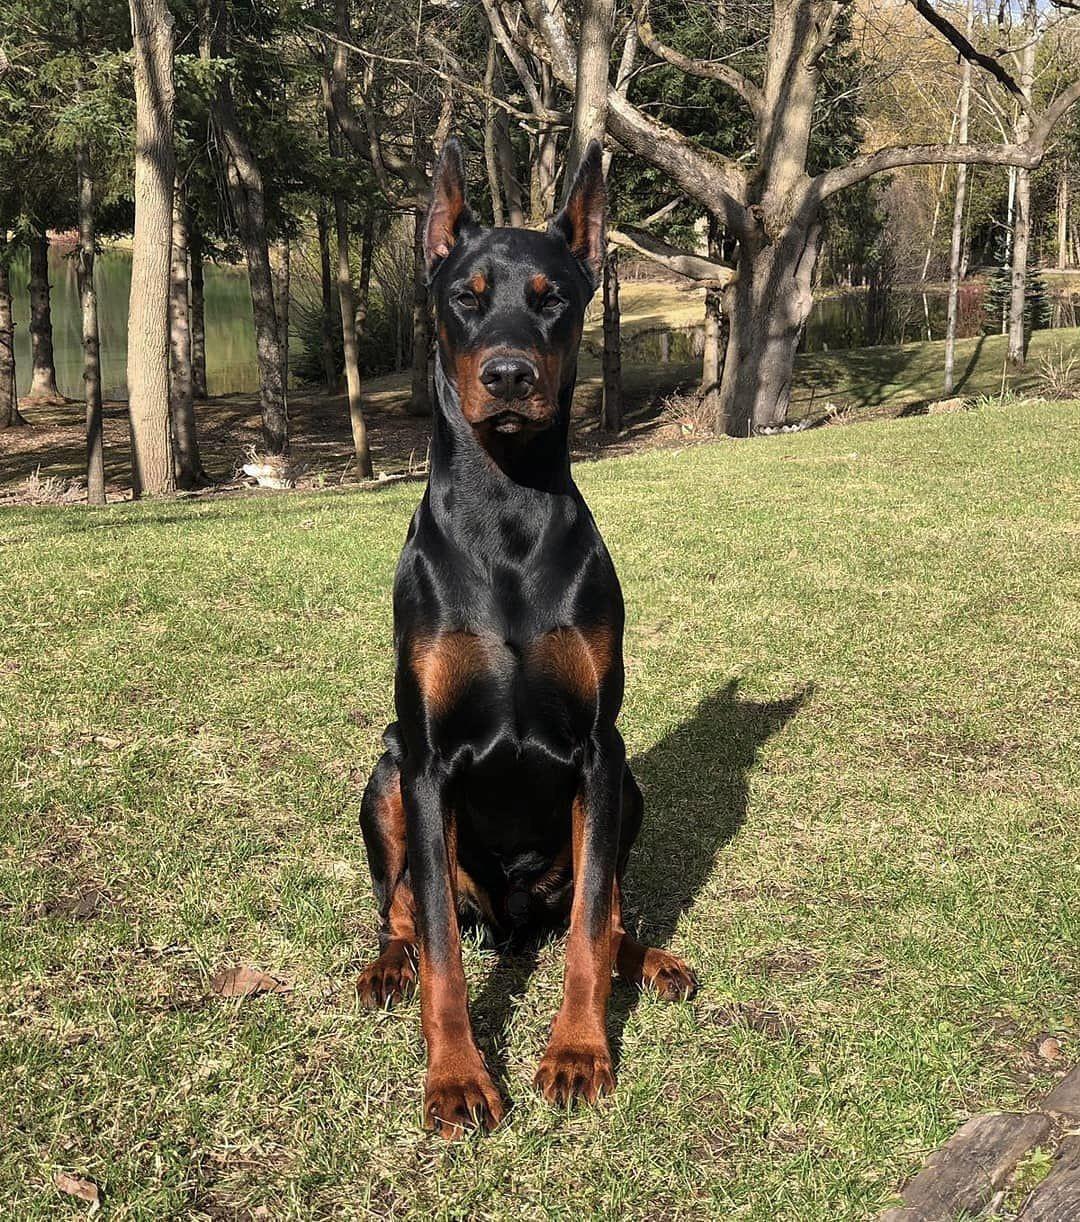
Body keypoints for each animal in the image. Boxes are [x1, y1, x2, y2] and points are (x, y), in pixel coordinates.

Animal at [358, 138, 697, 1138]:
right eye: (468, 296)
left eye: (553, 297)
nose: (509, 376)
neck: (505, 511)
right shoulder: (428, 760)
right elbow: (439, 943)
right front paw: (457, 1078)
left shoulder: (597, 750)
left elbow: (588, 928)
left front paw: (579, 1052)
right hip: (384, 769)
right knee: (400, 909)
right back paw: (385, 965)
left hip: (627, 789)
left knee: (605, 907)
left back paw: (649, 957)